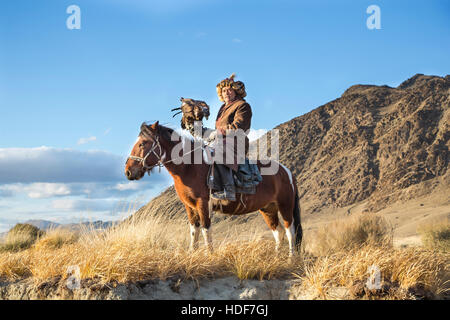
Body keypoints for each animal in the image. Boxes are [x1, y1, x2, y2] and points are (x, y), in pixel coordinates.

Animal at [125, 121, 304, 256]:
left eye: (142, 143)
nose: (128, 171)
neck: (189, 167)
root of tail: (287, 171)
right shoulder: (189, 207)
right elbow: (193, 231)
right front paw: (192, 253)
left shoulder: (203, 204)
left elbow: (206, 229)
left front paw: (209, 255)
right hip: (268, 209)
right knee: (278, 232)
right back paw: (277, 257)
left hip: (285, 205)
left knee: (290, 231)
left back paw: (291, 258)